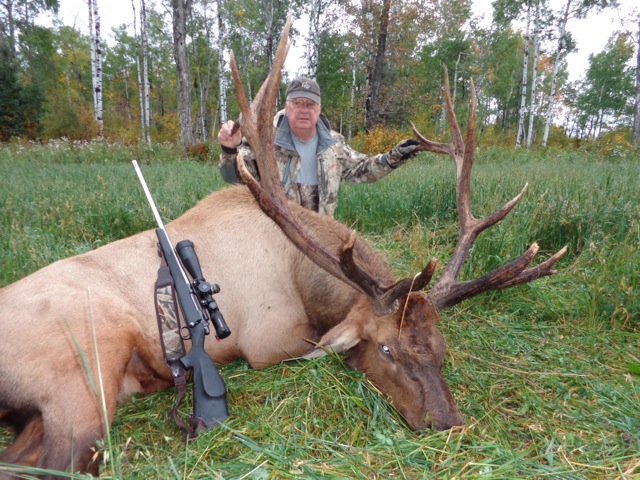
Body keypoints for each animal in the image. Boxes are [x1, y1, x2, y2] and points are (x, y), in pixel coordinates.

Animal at [0, 19, 566, 478]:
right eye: (387, 348)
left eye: (441, 348)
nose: (448, 423)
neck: (301, 276)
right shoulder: (266, 342)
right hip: (84, 377)